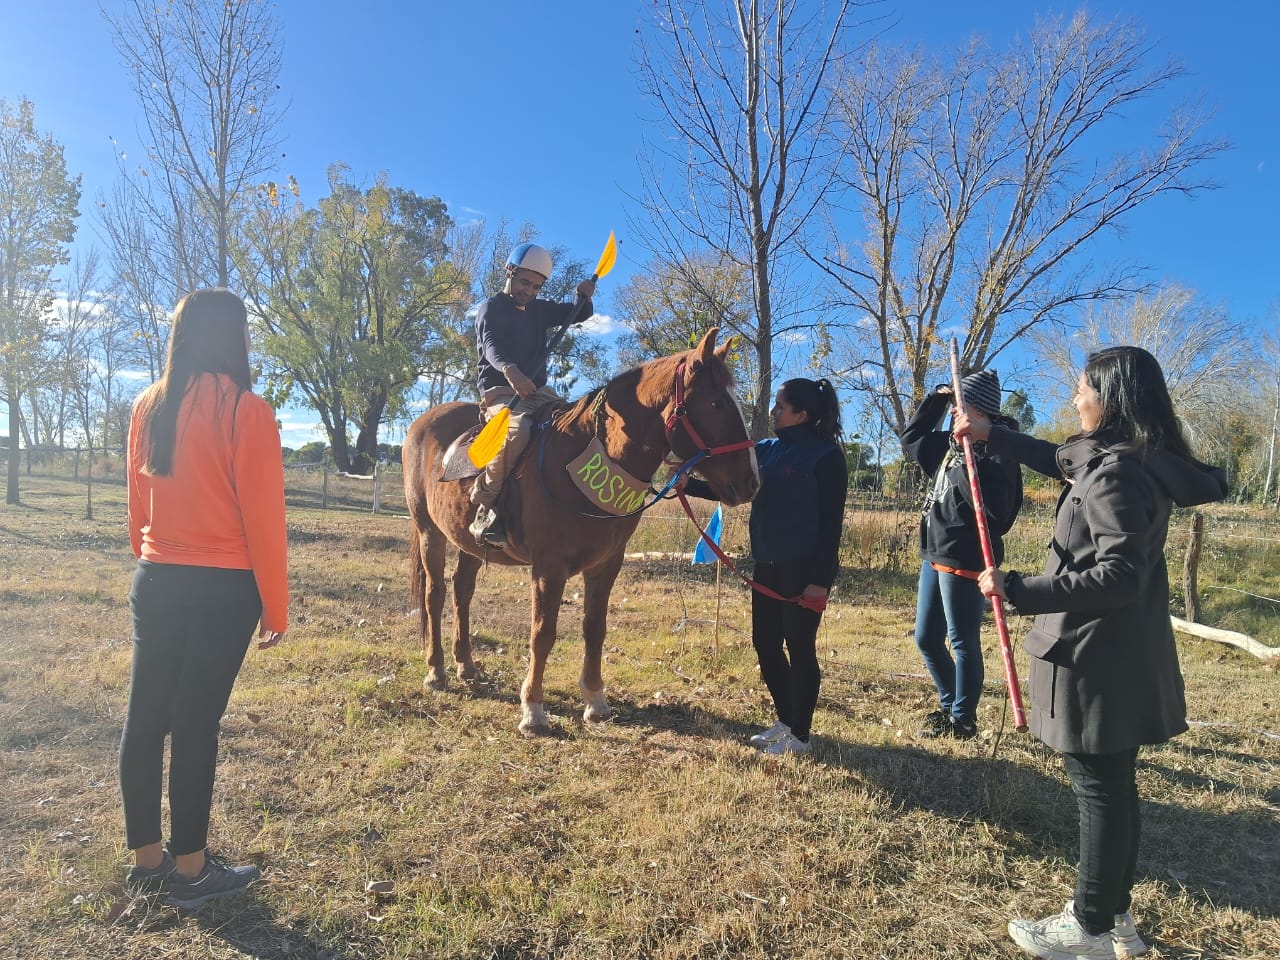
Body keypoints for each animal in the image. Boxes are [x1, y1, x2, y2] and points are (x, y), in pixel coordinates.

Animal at [401, 330, 757, 737]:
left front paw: (595, 700)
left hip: (468, 542)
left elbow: (594, 629)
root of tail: (424, 422)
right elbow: (543, 634)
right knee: (435, 594)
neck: (581, 457)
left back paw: (467, 666)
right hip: (429, 530)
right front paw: (533, 710)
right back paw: (437, 670)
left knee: (462, 591)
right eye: (716, 402)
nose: (752, 482)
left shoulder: (606, 565)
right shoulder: (548, 568)